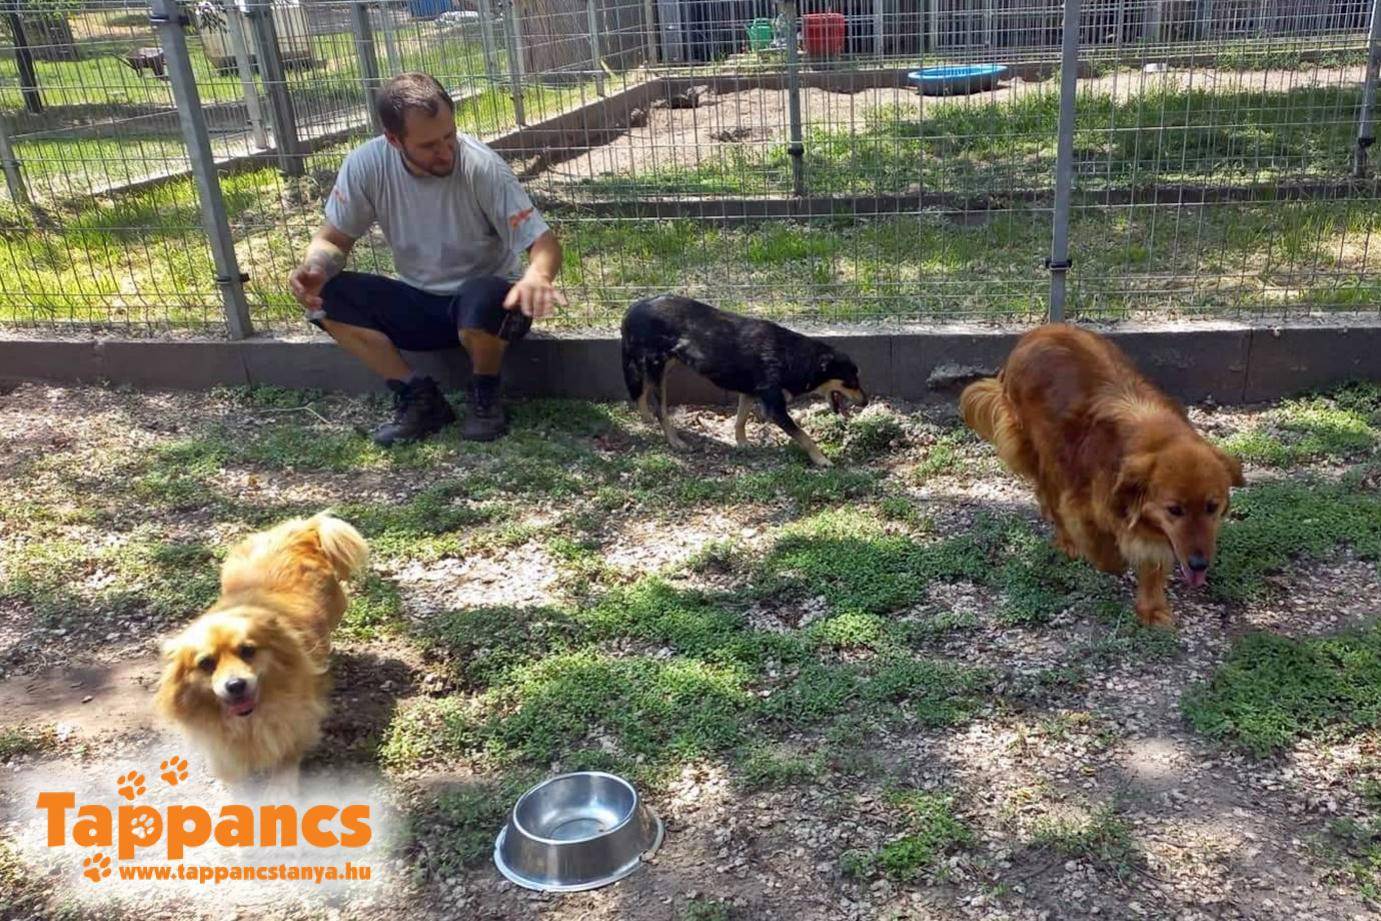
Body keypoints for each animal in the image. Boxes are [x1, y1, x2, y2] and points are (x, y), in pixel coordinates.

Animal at [155, 513, 368, 787]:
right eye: (205, 663)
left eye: (248, 650)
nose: (235, 685)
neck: (250, 719)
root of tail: (299, 530)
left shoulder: (295, 724)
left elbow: (284, 766)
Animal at [620, 295, 868, 467]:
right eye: (851, 382)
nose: (865, 402)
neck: (791, 357)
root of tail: (632, 308)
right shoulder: (775, 409)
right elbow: (804, 436)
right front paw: (821, 459)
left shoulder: (749, 393)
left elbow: (740, 420)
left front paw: (743, 443)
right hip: (657, 366)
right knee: (660, 409)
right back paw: (674, 441)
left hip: (664, 365)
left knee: (641, 392)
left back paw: (646, 419)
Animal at [960, 323, 1243, 628]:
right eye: (1175, 510)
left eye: (1212, 507)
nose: (1199, 564)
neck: (1155, 441)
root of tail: (1039, 330)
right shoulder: (1080, 503)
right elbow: (1100, 546)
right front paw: (1113, 561)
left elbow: (1153, 562)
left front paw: (1152, 607)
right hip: (1046, 453)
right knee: (1048, 494)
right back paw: (1066, 540)